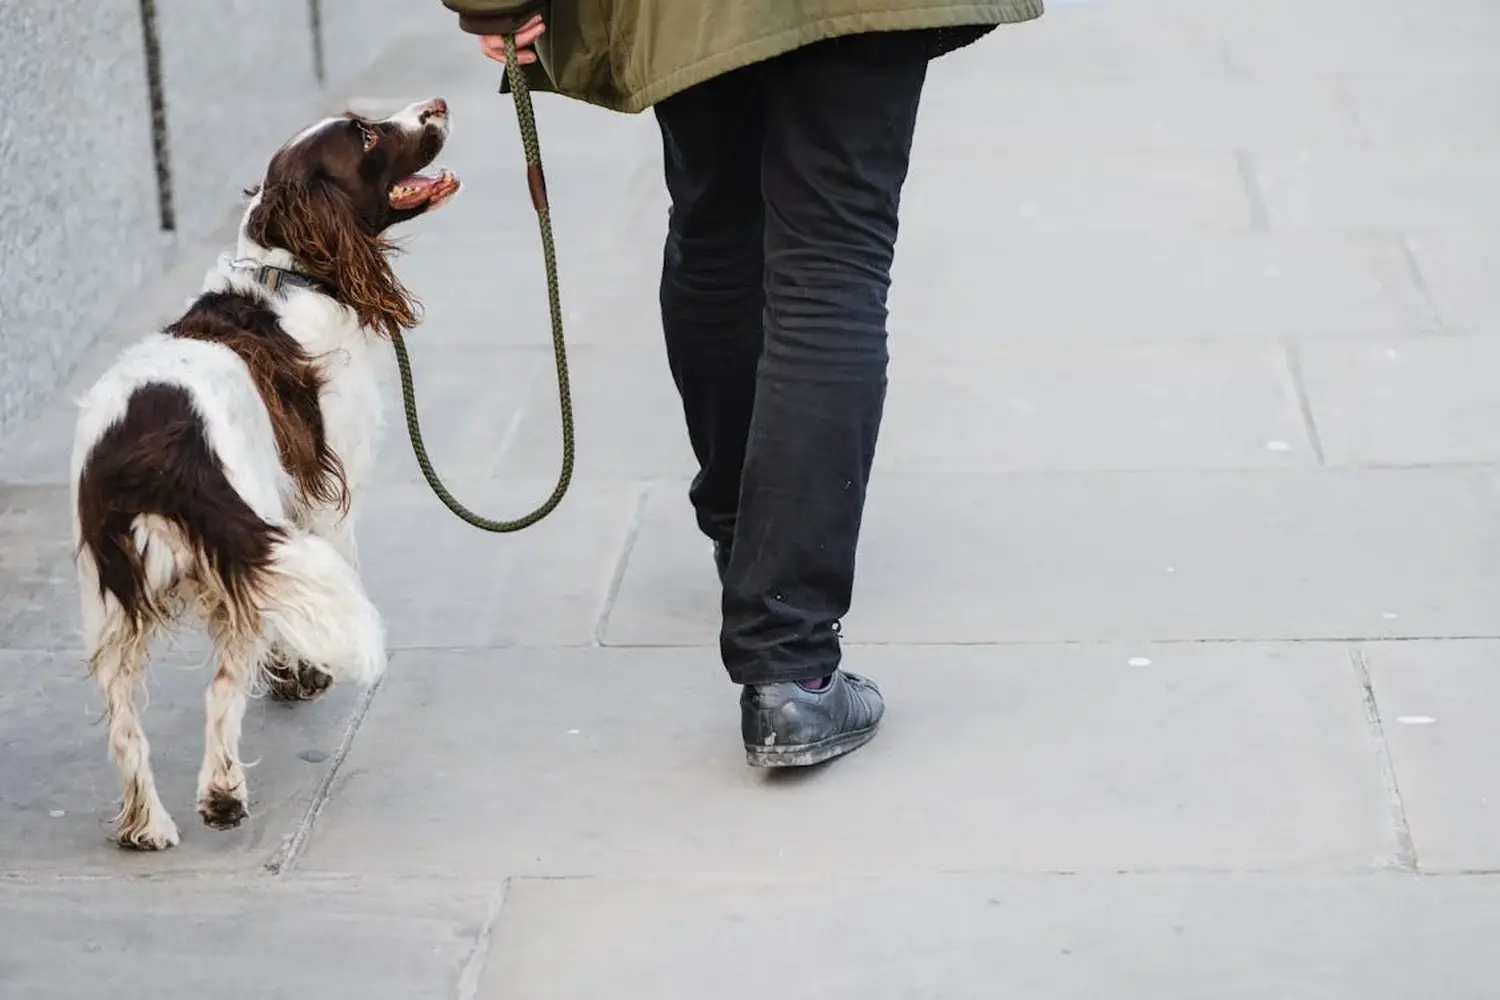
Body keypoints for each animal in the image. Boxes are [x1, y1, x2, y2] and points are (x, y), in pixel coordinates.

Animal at [66, 97, 462, 851]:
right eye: (365, 135)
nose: (437, 105)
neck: (288, 271)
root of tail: (151, 452)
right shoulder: (322, 493)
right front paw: (304, 672)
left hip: (113, 602)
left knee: (125, 719)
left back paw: (146, 825)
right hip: (233, 547)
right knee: (220, 691)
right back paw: (221, 795)